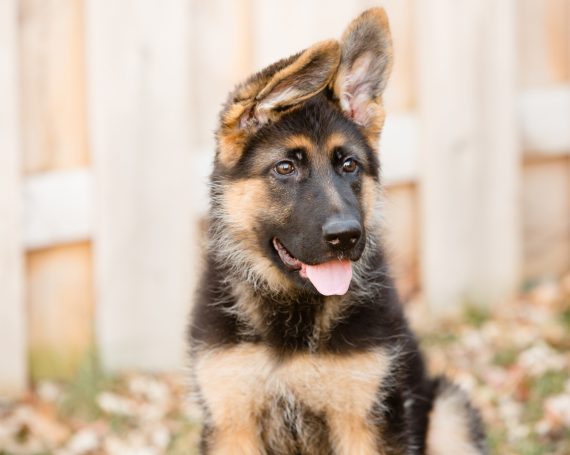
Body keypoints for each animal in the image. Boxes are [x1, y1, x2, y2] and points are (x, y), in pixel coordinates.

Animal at [190, 8, 484, 455]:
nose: (346, 236)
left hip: (450, 412)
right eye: (285, 168)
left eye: (349, 166)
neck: (293, 313)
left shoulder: (367, 421)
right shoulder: (231, 423)